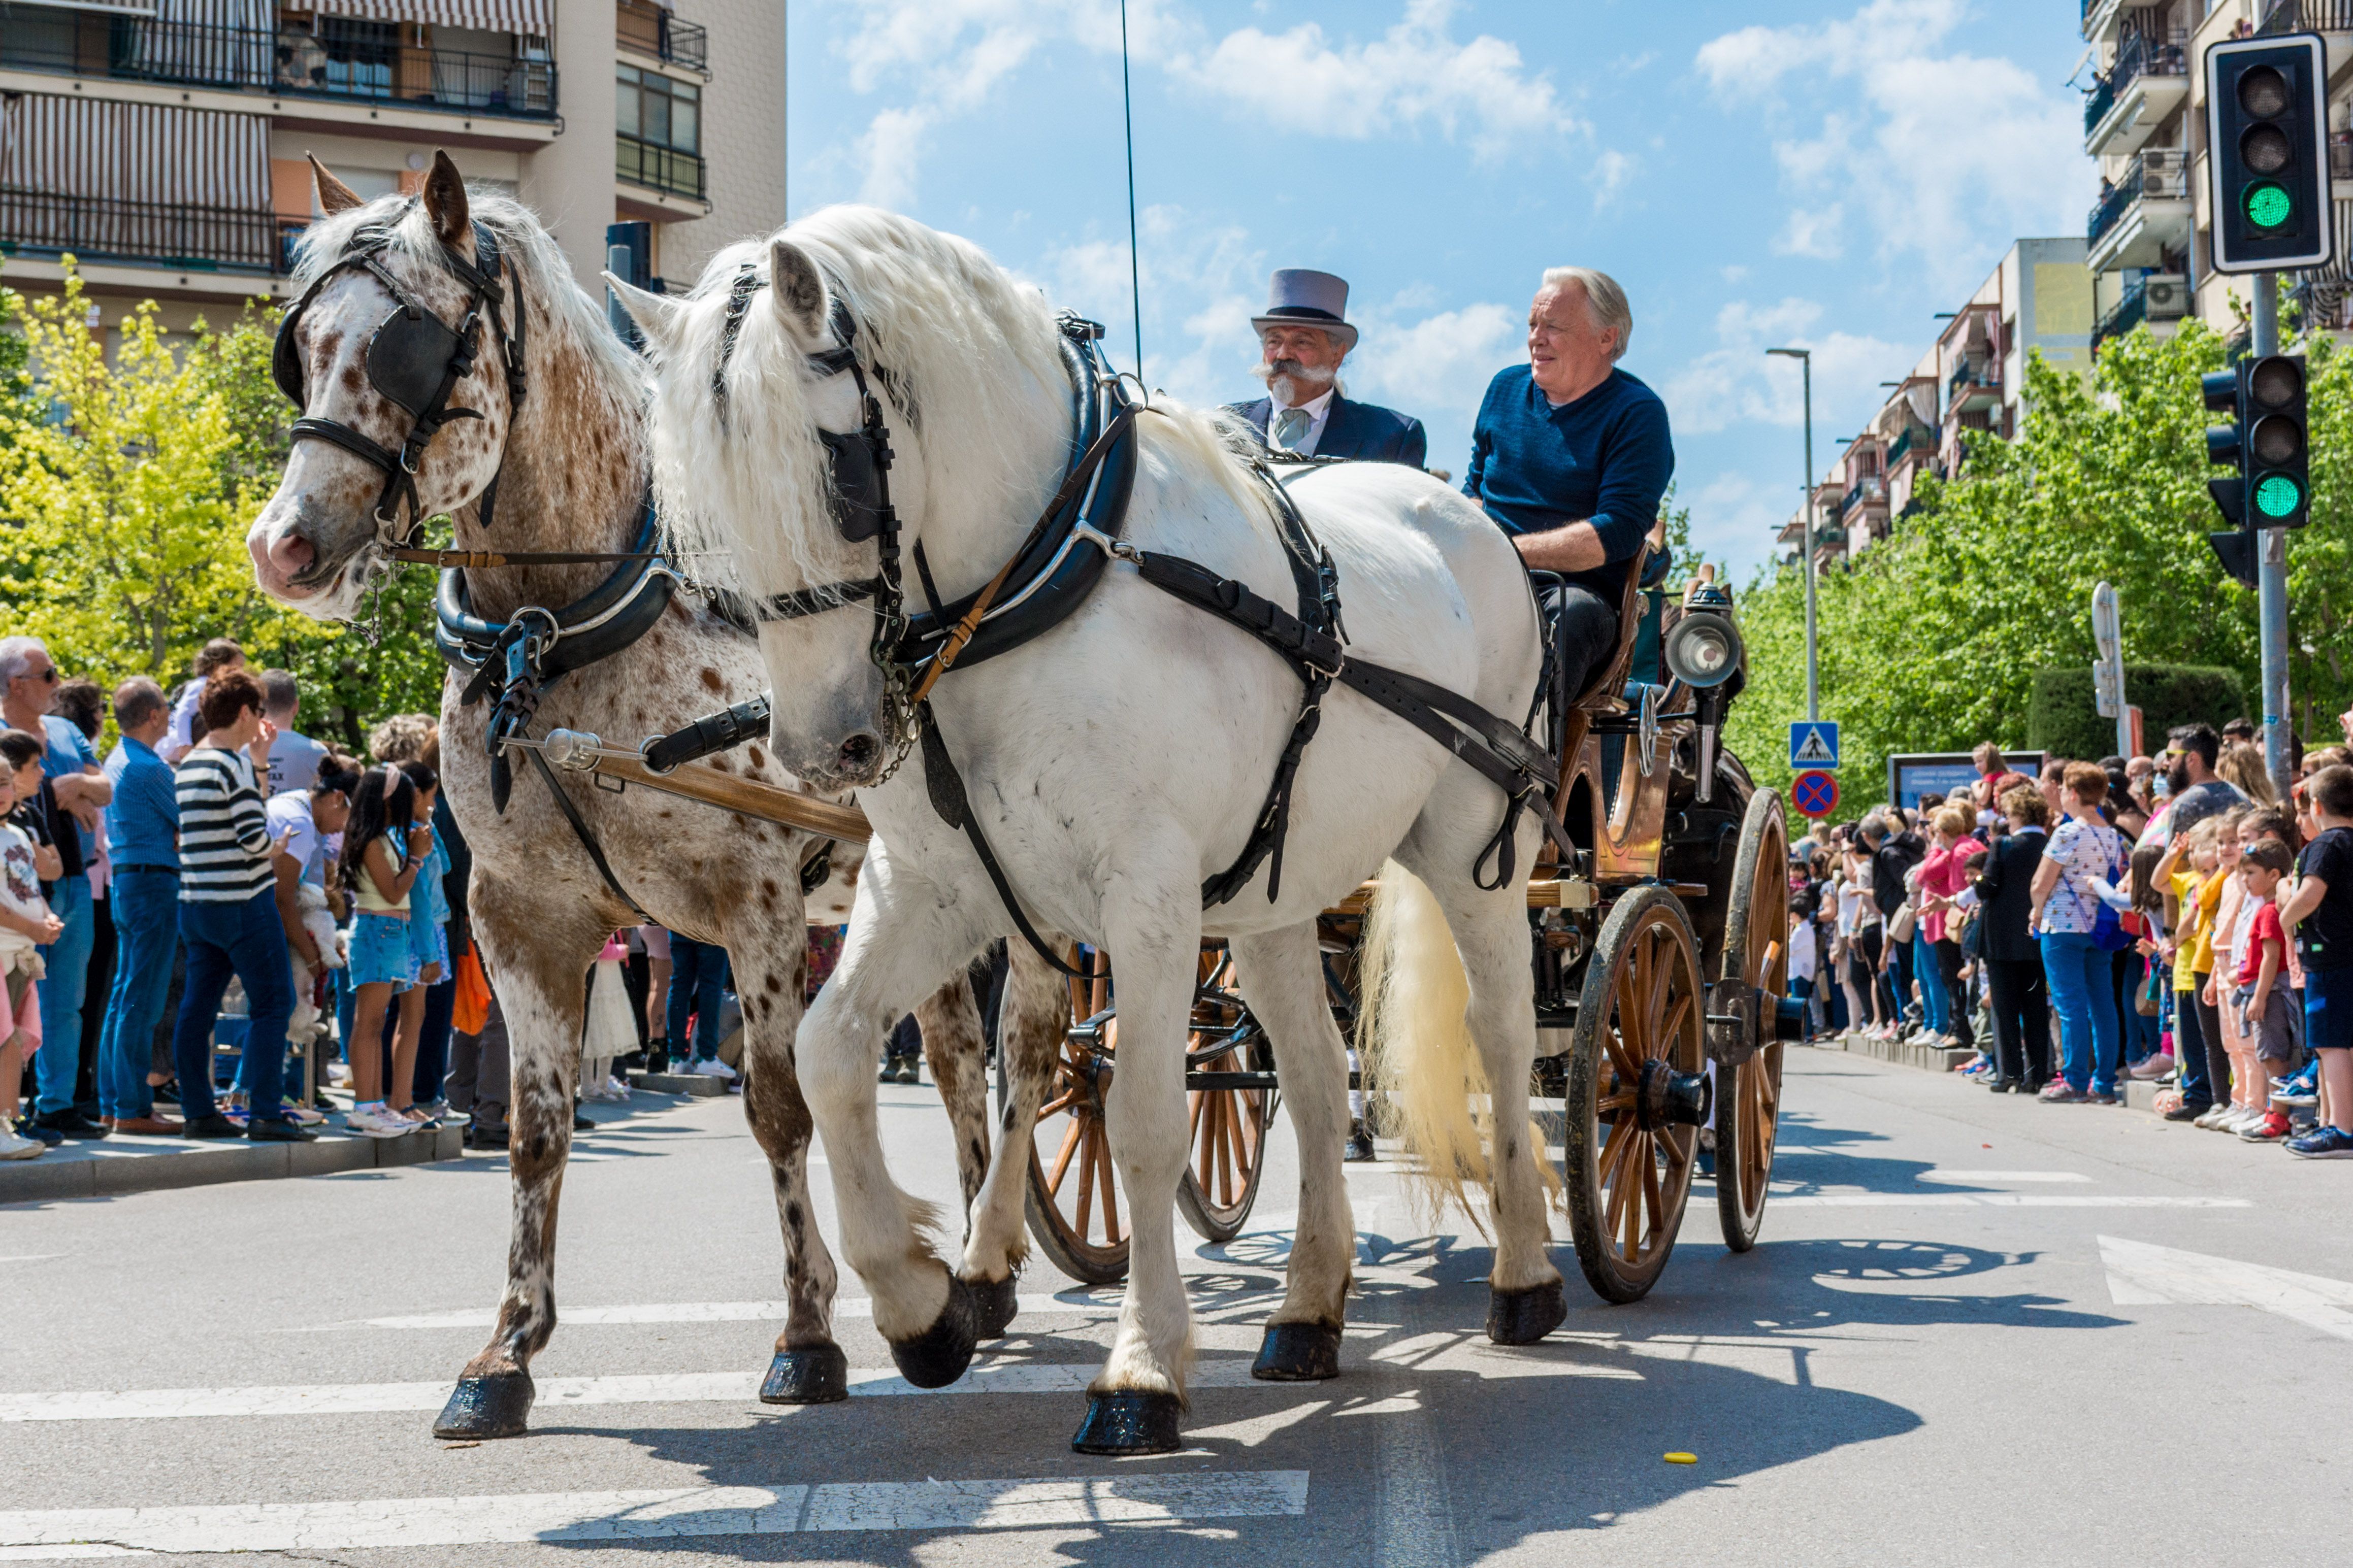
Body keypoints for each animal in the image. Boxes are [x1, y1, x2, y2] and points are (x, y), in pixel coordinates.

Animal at [611, 208, 1562, 1457]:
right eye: (708, 518)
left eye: (840, 471)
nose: (828, 748)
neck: (1035, 578)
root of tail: (1467, 516)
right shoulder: (934, 887)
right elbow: (830, 1053)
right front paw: (920, 1301)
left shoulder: (1147, 895)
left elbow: (1145, 1115)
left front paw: (1140, 1367)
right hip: (1273, 896)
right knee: (1312, 1076)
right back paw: (1307, 1307)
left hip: (1472, 850)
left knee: (1498, 1041)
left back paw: (1525, 1275)